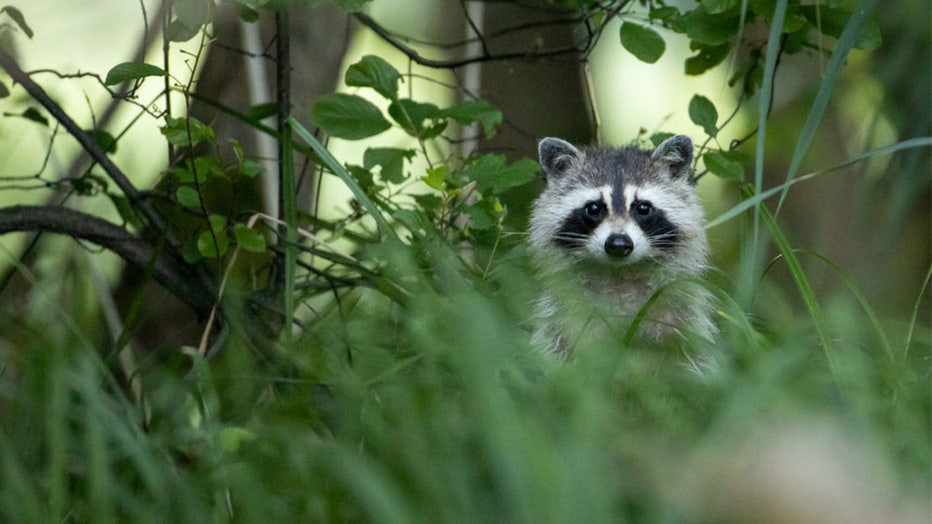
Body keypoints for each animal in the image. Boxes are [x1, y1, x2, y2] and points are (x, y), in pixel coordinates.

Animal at [528, 135, 715, 359]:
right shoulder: (562, 313)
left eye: (643, 208)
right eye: (594, 208)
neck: (620, 274)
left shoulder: (680, 311)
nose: (618, 244)